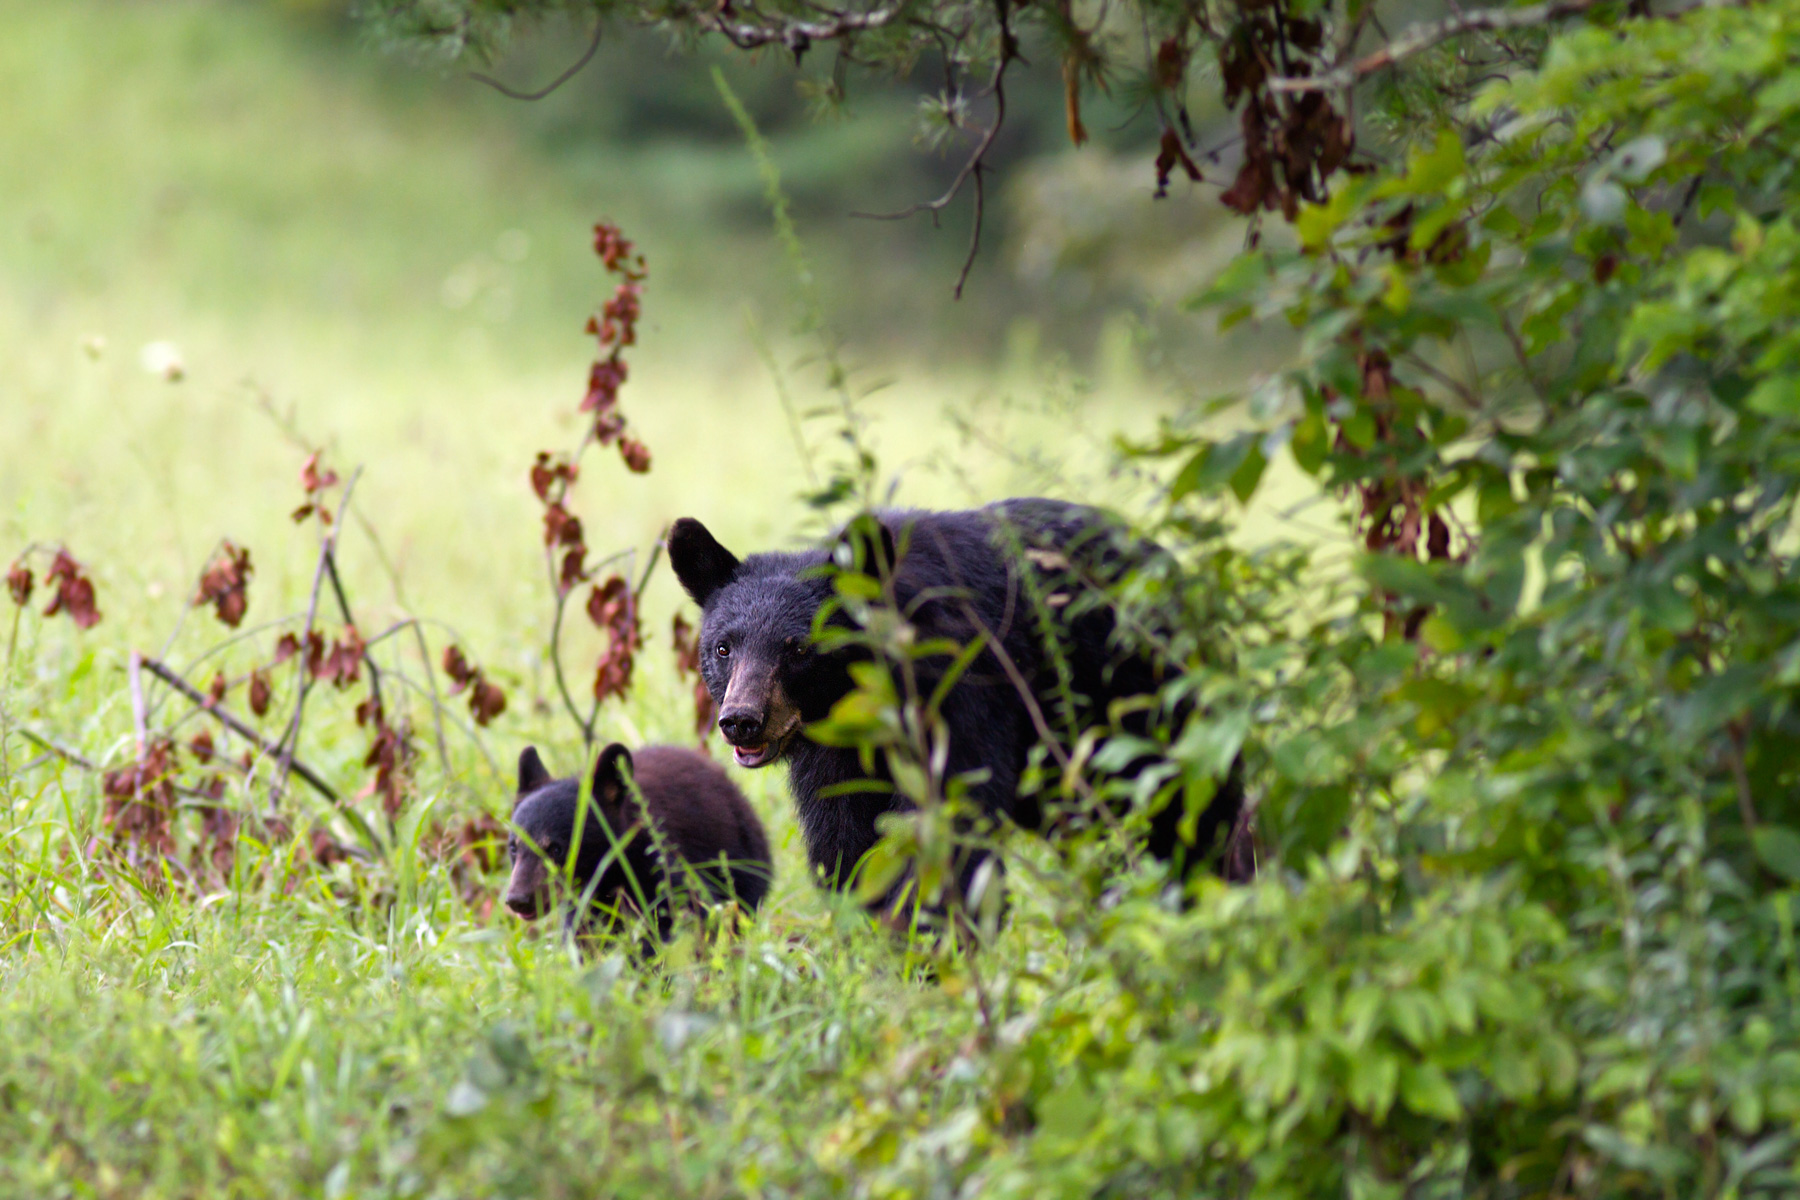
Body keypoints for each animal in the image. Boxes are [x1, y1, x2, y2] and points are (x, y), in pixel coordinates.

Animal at [666, 497, 1247, 905]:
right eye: (723, 647)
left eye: (799, 649)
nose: (742, 721)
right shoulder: (835, 753)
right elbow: (846, 842)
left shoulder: (962, 692)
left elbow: (950, 822)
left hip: (1153, 709)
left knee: (1191, 818)